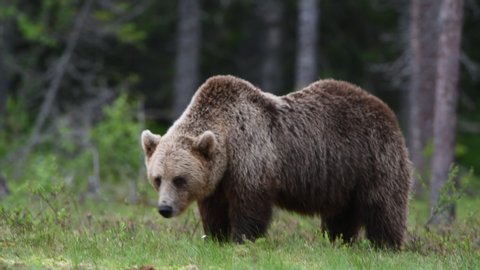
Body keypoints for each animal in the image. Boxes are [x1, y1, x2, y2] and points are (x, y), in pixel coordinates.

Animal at [141, 75, 410, 249]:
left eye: (179, 179)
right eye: (158, 178)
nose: (165, 208)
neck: (226, 139)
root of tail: (385, 109)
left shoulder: (251, 153)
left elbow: (250, 204)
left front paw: (242, 239)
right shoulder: (218, 178)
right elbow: (213, 209)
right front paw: (216, 237)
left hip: (373, 156)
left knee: (382, 204)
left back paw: (385, 245)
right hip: (342, 177)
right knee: (341, 213)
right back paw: (338, 241)